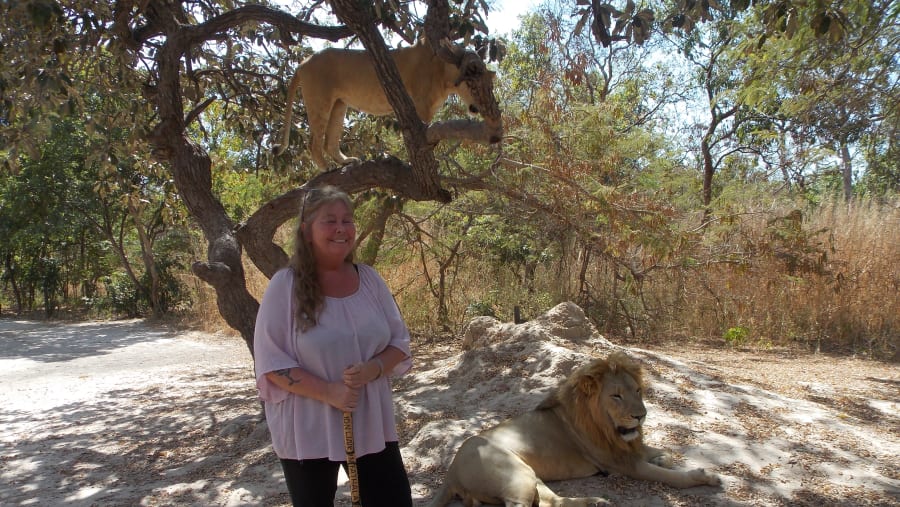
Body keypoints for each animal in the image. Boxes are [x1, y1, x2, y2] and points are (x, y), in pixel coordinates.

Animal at [273, 39, 503, 169]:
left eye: (488, 86)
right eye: (472, 85)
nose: (479, 108)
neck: (445, 75)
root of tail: (303, 62)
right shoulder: (421, 107)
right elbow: (419, 139)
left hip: (339, 104)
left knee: (330, 141)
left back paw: (346, 162)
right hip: (320, 100)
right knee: (313, 142)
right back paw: (327, 168)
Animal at [427, 352, 721, 507]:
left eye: (637, 391)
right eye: (616, 396)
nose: (641, 416)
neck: (603, 426)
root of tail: (451, 472)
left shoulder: (624, 448)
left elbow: (658, 452)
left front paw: (662, 456)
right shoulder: (621, 464)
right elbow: (671, 476)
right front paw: (704, 477)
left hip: (530, 475)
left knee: (552, 502)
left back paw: (595, 502)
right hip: (515, 474)